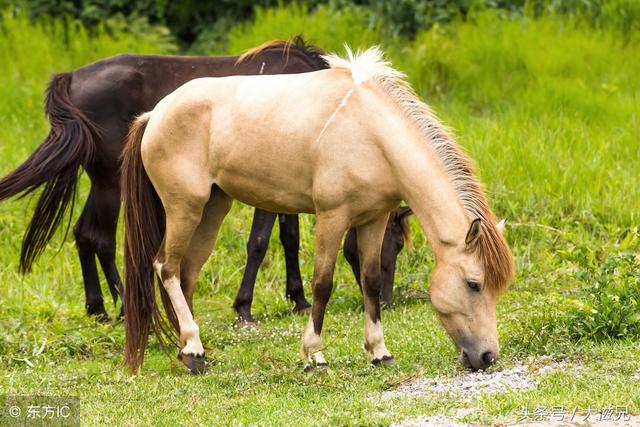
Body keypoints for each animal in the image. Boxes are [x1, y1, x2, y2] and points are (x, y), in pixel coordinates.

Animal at [0, 37, 408, 324]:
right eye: (397, 243)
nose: (385, 300)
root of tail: (72, 77)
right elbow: (259, 243)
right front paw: (244, 307)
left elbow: (289, 239)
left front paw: (298, 298)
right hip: (110, 185)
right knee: (97, 236)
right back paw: (120, 305)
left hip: (105, 183)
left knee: (85, 236)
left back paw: (100, 307)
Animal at [122, 46, 516, 374]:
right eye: (474, 284)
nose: (487, 356)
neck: (371, 133)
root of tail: (155, 114)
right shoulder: (332, 217)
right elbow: (322, 285)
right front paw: (315, 355)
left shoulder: (372, 220)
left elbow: (371, 281)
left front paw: (379, 352)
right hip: (184, 210)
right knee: (166, 267)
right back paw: (193, 348)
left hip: (212, 209)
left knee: (186, 273)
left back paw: (192, 352)